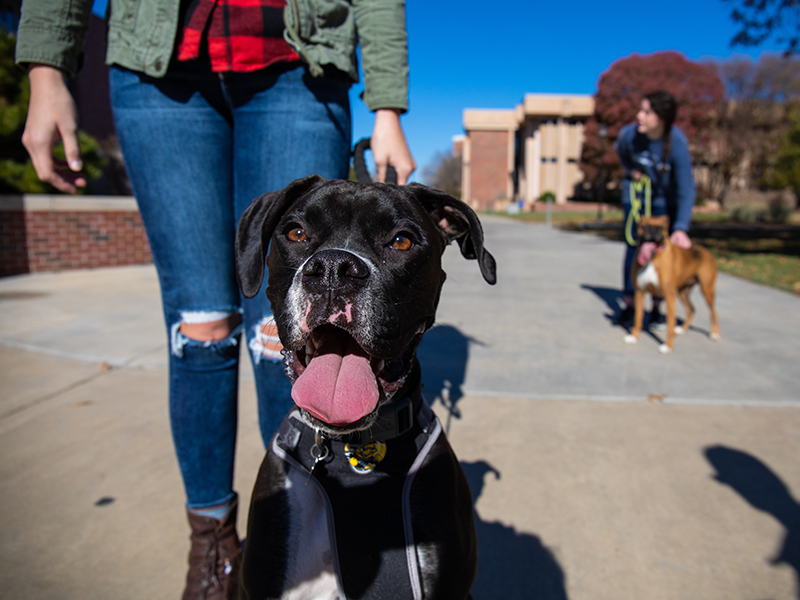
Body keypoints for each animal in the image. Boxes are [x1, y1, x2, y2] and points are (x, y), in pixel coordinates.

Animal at [624, 216, 720, 354]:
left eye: (661, 228)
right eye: (645, 226)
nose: (653, 231)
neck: (653, 258)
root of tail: (705, 250)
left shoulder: (669, 296)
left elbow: (670, 323)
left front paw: (668, 346)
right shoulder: (639, 293)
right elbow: (638, 318)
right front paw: (634, 337)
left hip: (707, 290)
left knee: (713, 312)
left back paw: (714, 333)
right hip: (683, 293)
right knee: (692, 309)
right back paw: (683, 329)